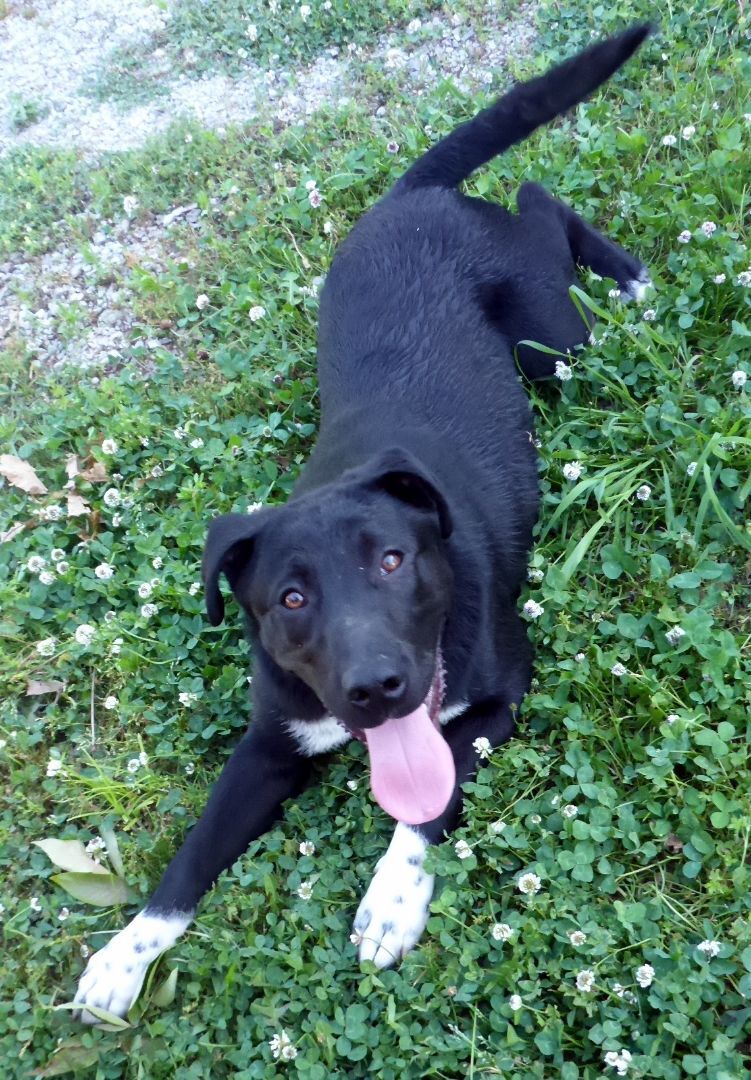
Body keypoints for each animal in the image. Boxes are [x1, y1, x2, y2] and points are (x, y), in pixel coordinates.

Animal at [75, 25, 652, 1019]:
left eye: (391, 561)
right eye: (290, 598)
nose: (375, 690)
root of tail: (407, 197)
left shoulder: (499, 697)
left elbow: (429, 803)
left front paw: (391, 897)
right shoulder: (268, 745)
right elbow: (188, 858)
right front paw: (125, 951)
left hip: (552, 340)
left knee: (539, 205)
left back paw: (628, 276)